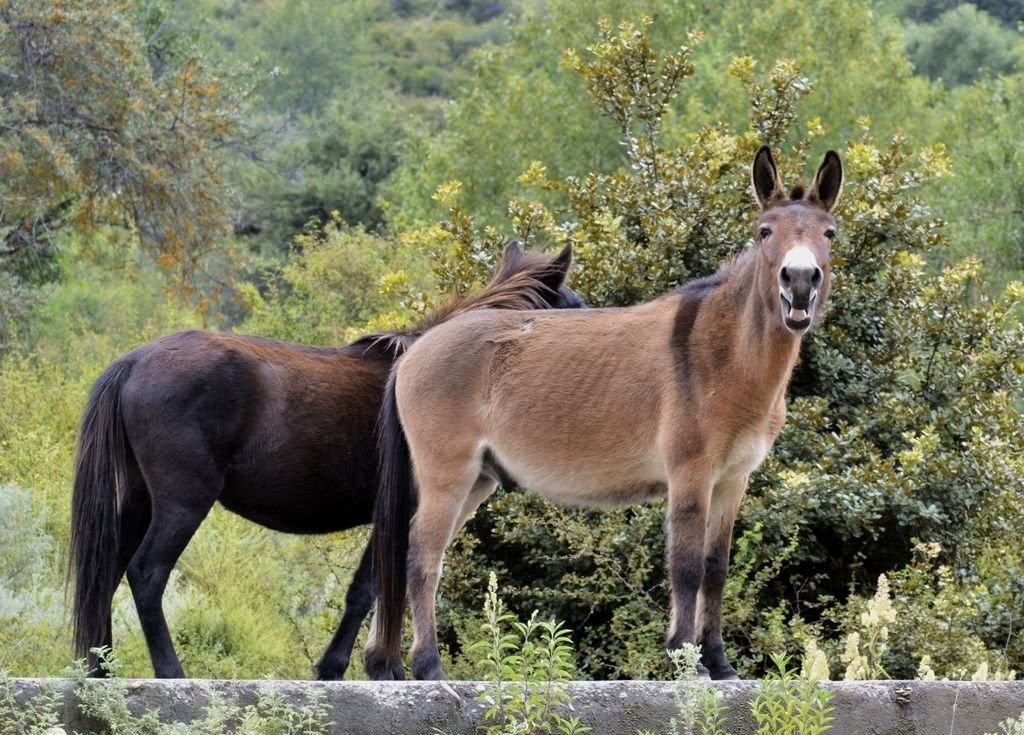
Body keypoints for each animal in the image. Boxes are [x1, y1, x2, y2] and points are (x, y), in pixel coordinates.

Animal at [70, 244, 585, 683]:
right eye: (576, 308)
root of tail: (133, 362)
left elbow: (374, 588)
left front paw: (368, 668)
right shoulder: (402, 510)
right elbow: (375, 587)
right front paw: (367, 668)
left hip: (140, 500)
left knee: (105, 573)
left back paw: (98, 671)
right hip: (182, 502)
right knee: (146, 574)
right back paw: (170, 672)